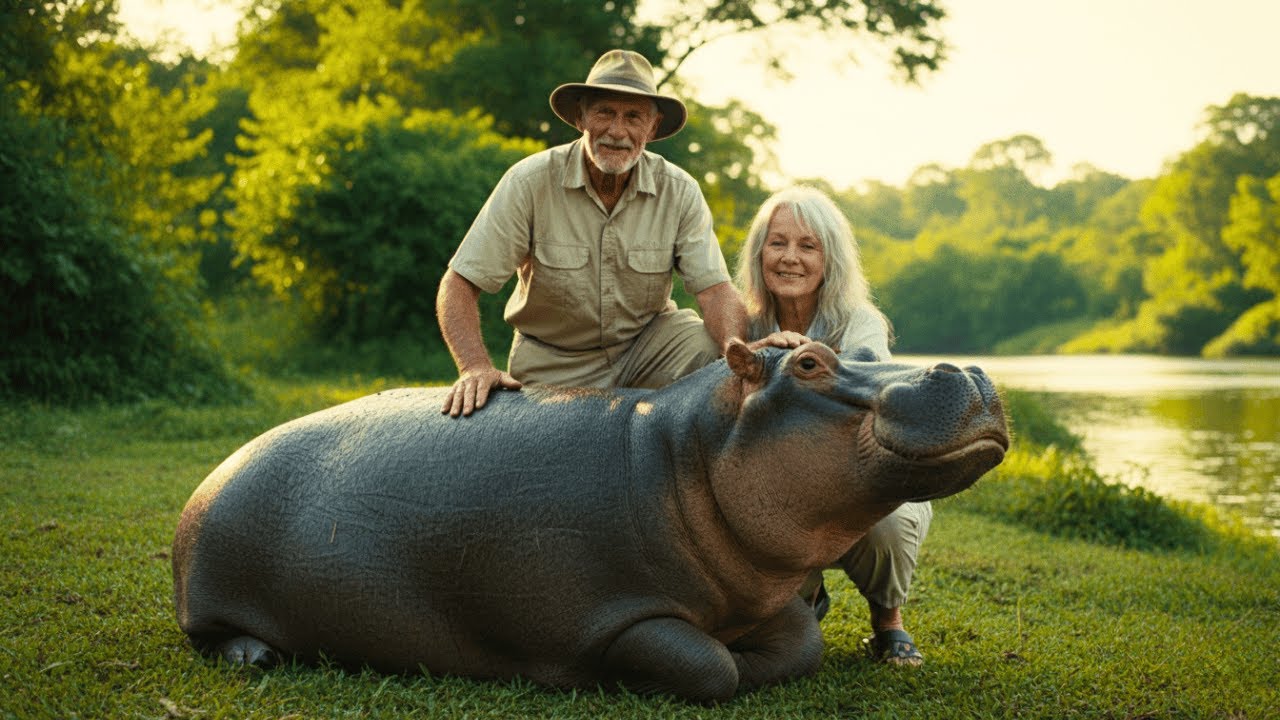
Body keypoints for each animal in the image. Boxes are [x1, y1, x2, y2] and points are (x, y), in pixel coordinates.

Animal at [172, 339, 1007, 702]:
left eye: (857, 346)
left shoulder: (763, 597)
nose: (970, 369)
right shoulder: (608, 613)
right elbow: (706, 665)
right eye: (808, 364)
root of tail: (209, 480)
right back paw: (254, 657)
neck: (684, 453)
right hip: (209, 596)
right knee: (212, 635)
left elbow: (800, 643)